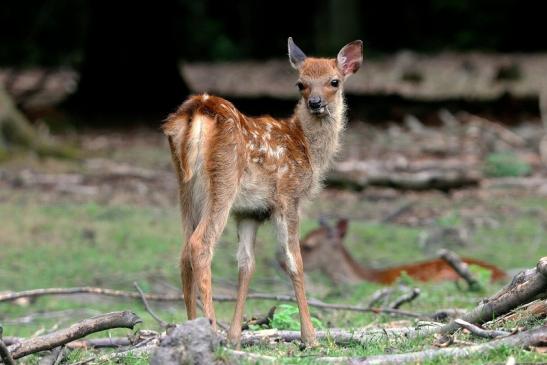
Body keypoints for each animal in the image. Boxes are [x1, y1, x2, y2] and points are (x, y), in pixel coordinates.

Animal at [165, 38, 366, 346]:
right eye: (300, 83)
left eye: (334, 81)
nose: (315, 103)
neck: (307, 150)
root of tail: (197, 110)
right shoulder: (288, 197)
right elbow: (295, 262)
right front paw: (310, 337)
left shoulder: (250, 212)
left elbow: (246, 265)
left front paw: (235, 336)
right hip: (223, 181)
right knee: (200, 245)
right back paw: (210, 330)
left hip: (186, 188)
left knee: (184, 249)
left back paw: (191, 327)